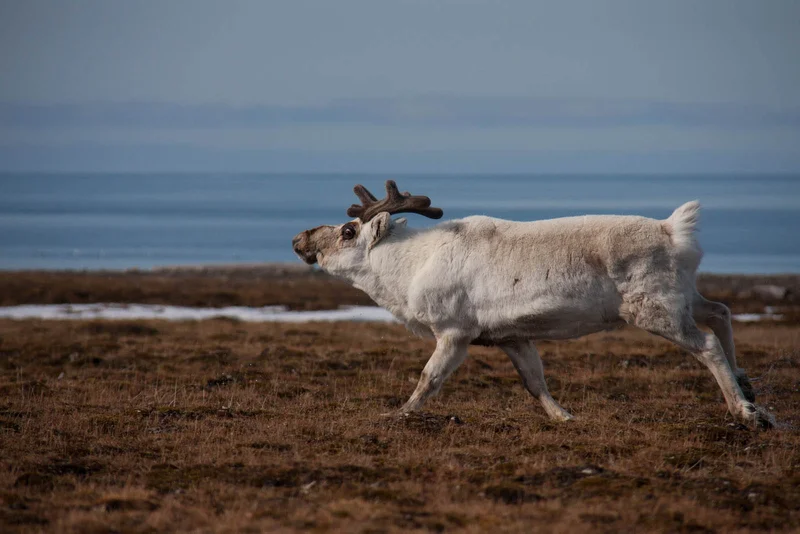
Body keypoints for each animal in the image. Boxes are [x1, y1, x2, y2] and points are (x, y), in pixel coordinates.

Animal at [292, 180, 774, 429]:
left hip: (656, 309)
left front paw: (397, 414)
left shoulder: (454, 333)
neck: (409, 264)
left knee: (707, 343)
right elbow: (534, 382)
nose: (300, 238)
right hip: (682, 297)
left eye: (348, 232)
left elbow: (429, 379)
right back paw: (747, 384)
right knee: (721, 311)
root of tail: (673, 230)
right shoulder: (512, 337)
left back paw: (746, 411)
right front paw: (565, 417)